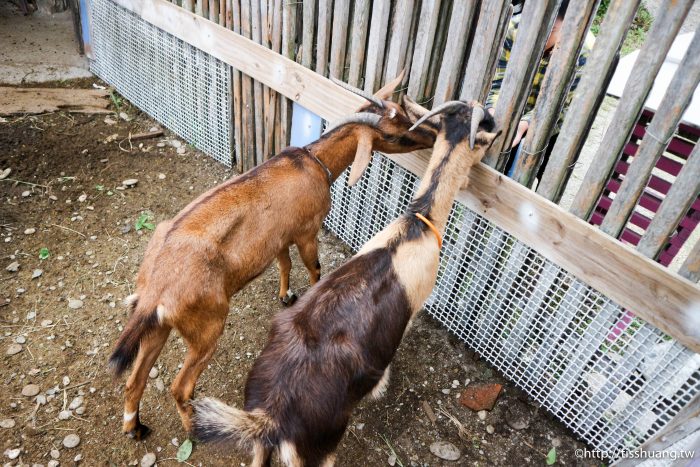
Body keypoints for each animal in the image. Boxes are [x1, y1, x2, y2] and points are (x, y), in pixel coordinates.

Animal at [108, 73, 438, 442]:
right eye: (393, 133)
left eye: (402, 113)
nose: (432, 134)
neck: (315, 163)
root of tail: (156, 288)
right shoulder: (307, 231)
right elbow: (314, 267)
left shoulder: (281, 237)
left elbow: (285, 264)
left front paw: (285, 295)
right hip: (207, 328)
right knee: (180, 387)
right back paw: (194, 429)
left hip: (158, 326)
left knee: (134, 379)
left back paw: (135, 427)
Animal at [190, 100, 498, 466]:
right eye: (487, 132)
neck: (416, 225)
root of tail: (270, 417)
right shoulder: (414, 306)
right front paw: (381, 386)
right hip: (321, 447)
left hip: (261, 447)